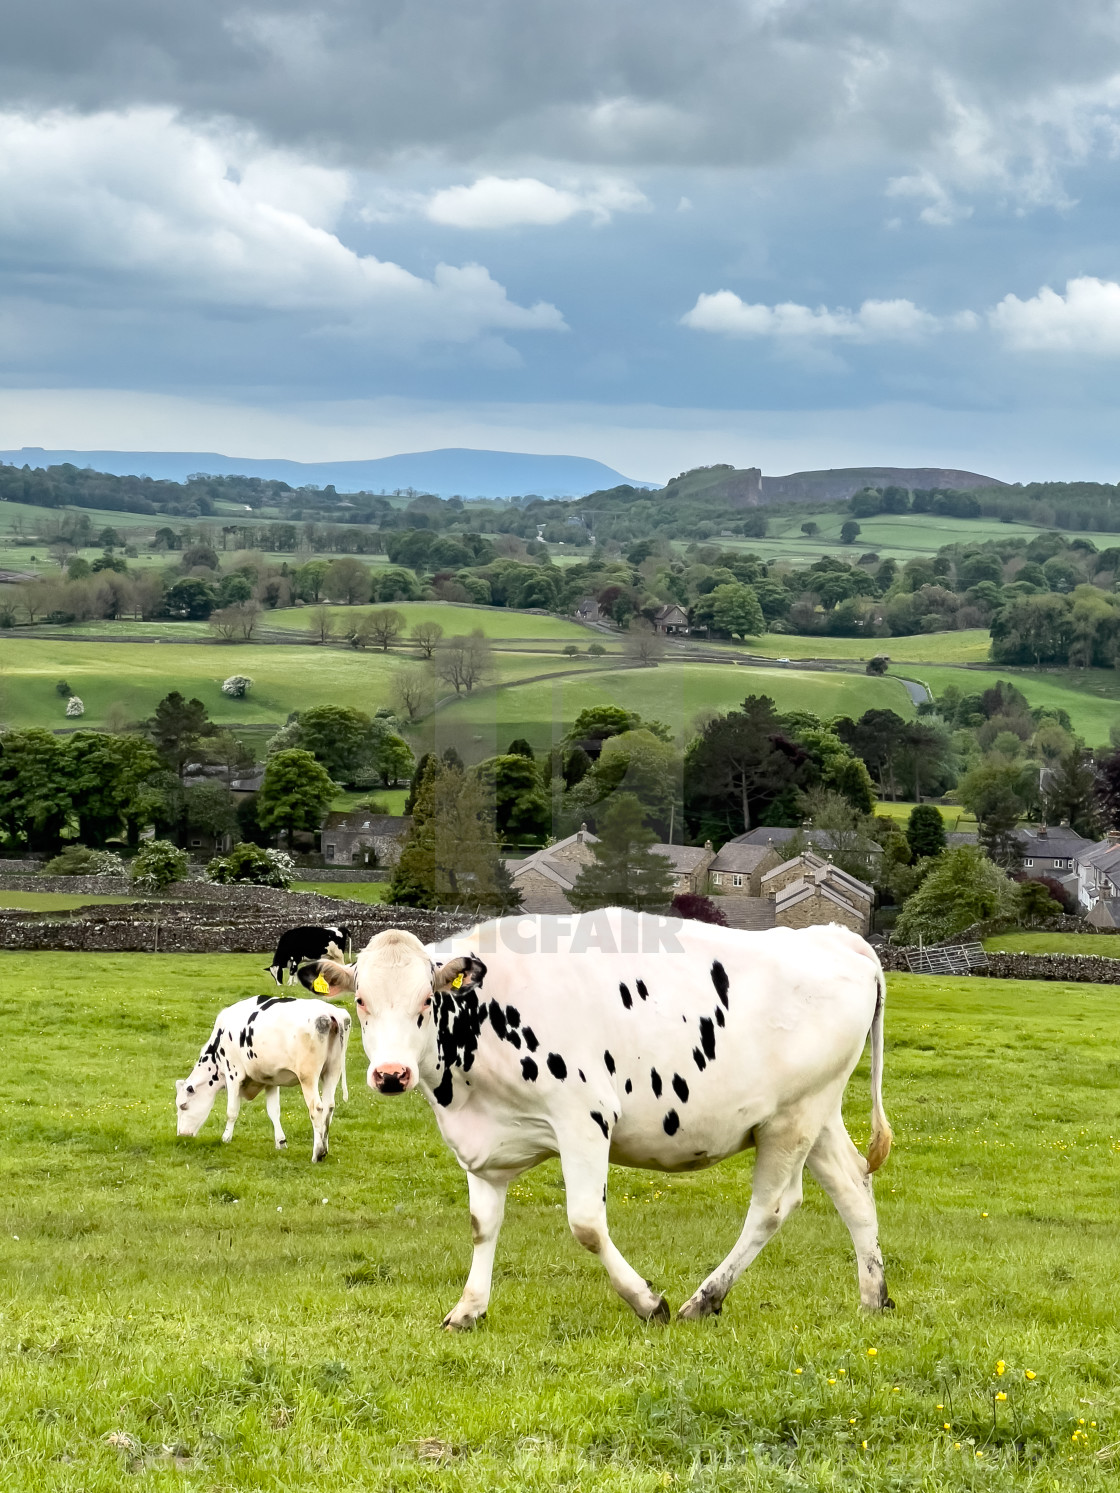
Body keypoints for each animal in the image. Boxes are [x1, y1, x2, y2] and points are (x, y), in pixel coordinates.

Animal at [176, 997, 350, 1158]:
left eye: (183, 1105)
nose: (182, 1135)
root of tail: (331, 1013)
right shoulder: (270, 1079)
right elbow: (274, 1111)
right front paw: (280, 1142)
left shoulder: (233, 1073)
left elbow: (231, 1111)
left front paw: (226, 1138)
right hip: (332, 1071)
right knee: (329, 1106)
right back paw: (324, 1150)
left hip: (308, 1076)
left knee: (317, 1108)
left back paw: (317, 1153)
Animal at [304, 907, 896, 1331]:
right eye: (361, 1001)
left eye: (427, 999)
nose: (391, 1074)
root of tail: (836, 938)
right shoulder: (484, 1143)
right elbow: (481, 1225)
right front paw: (469, 1308)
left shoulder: (583, 1118)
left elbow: (586, 1223)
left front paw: (647, 1302)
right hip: (818, 1112)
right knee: (853, 1186)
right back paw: (873, 1297)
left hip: (794, 1118)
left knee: (772, 1206)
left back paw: (703, 1300)